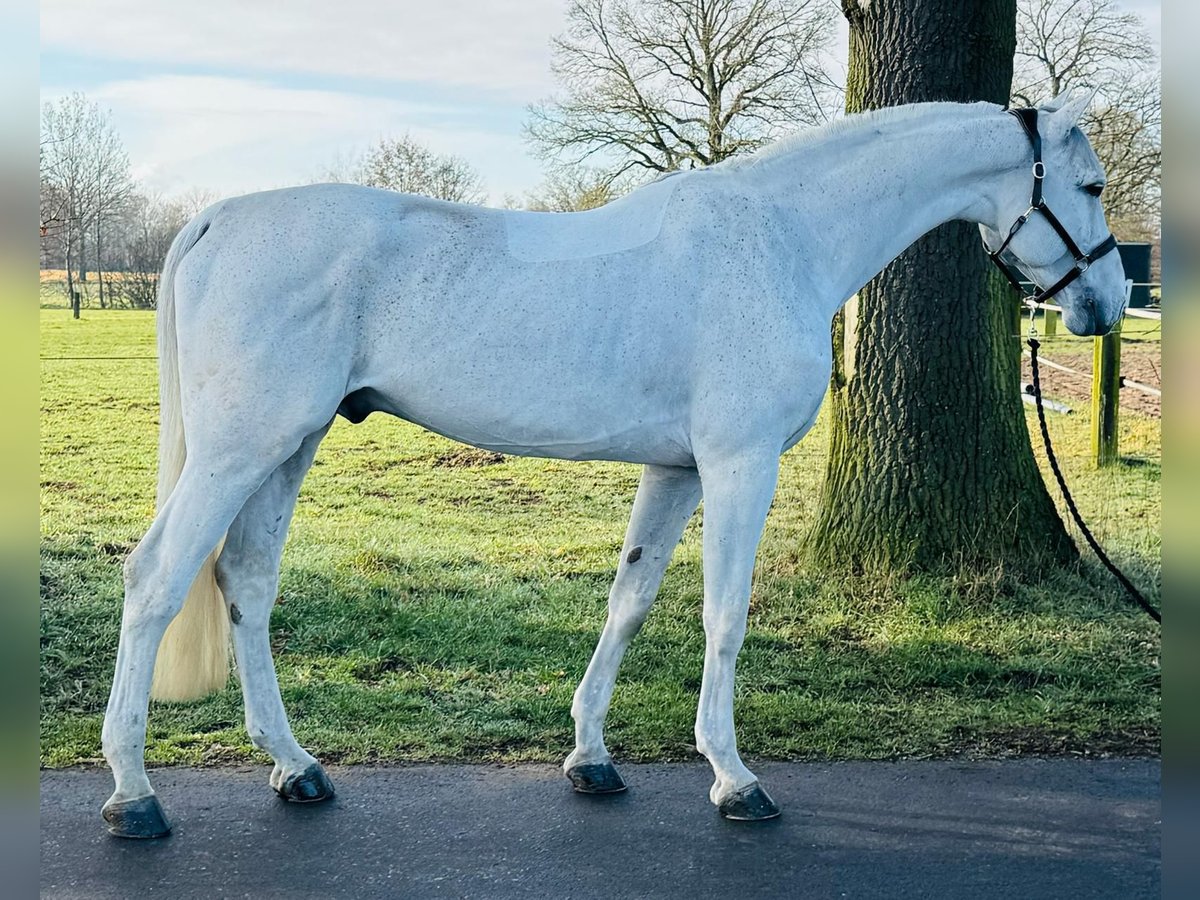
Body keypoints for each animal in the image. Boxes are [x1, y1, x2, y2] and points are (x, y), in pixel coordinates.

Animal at [100, 93, 1123, 840]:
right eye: (1093, 184)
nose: (1106, 305)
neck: (780, 239)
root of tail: (218, 219)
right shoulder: (740, 464)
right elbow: (724, 617)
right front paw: (734, 778)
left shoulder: (677, 470)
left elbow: (628, 602)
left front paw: (591, 759)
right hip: (238, 450)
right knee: (155, 578)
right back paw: (134, 795)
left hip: (288, 445)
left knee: (246, 583)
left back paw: (295, 768)